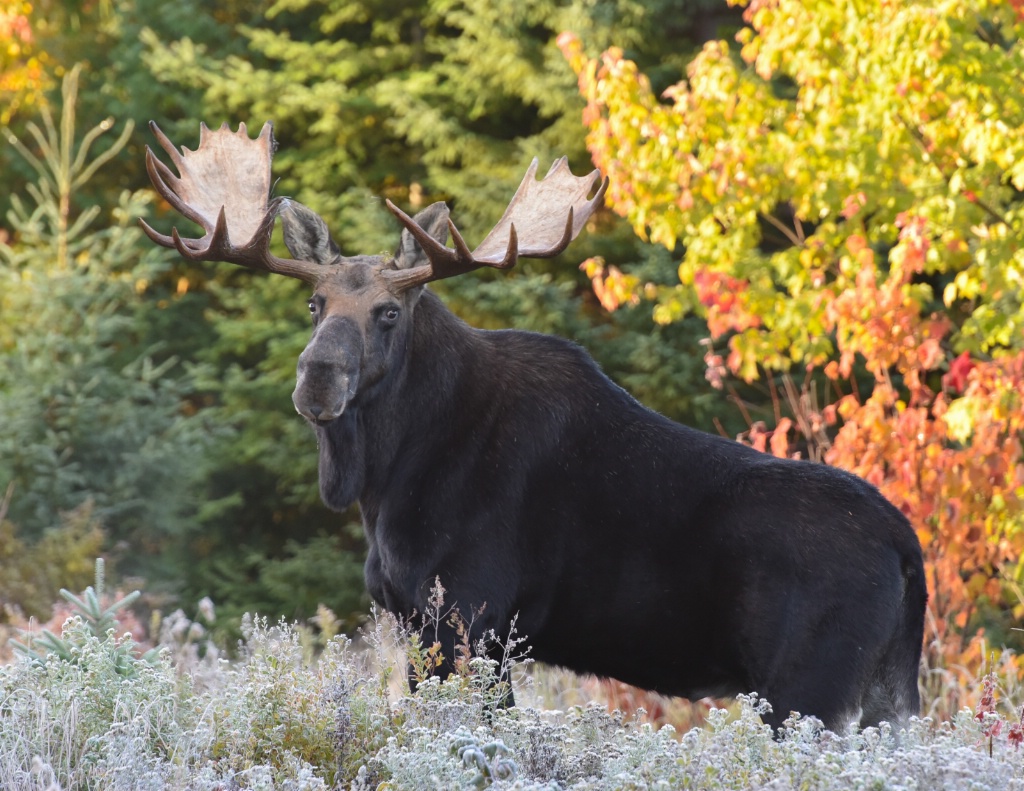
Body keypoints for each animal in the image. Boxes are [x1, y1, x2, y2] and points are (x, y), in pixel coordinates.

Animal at [142, 120, 929, 733]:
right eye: (314, 304)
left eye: (389, 313)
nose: (318, 378)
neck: (386, 480)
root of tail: (906, 547)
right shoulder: (415, 620)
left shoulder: (471, 614)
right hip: (888, 694)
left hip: (806, 686)